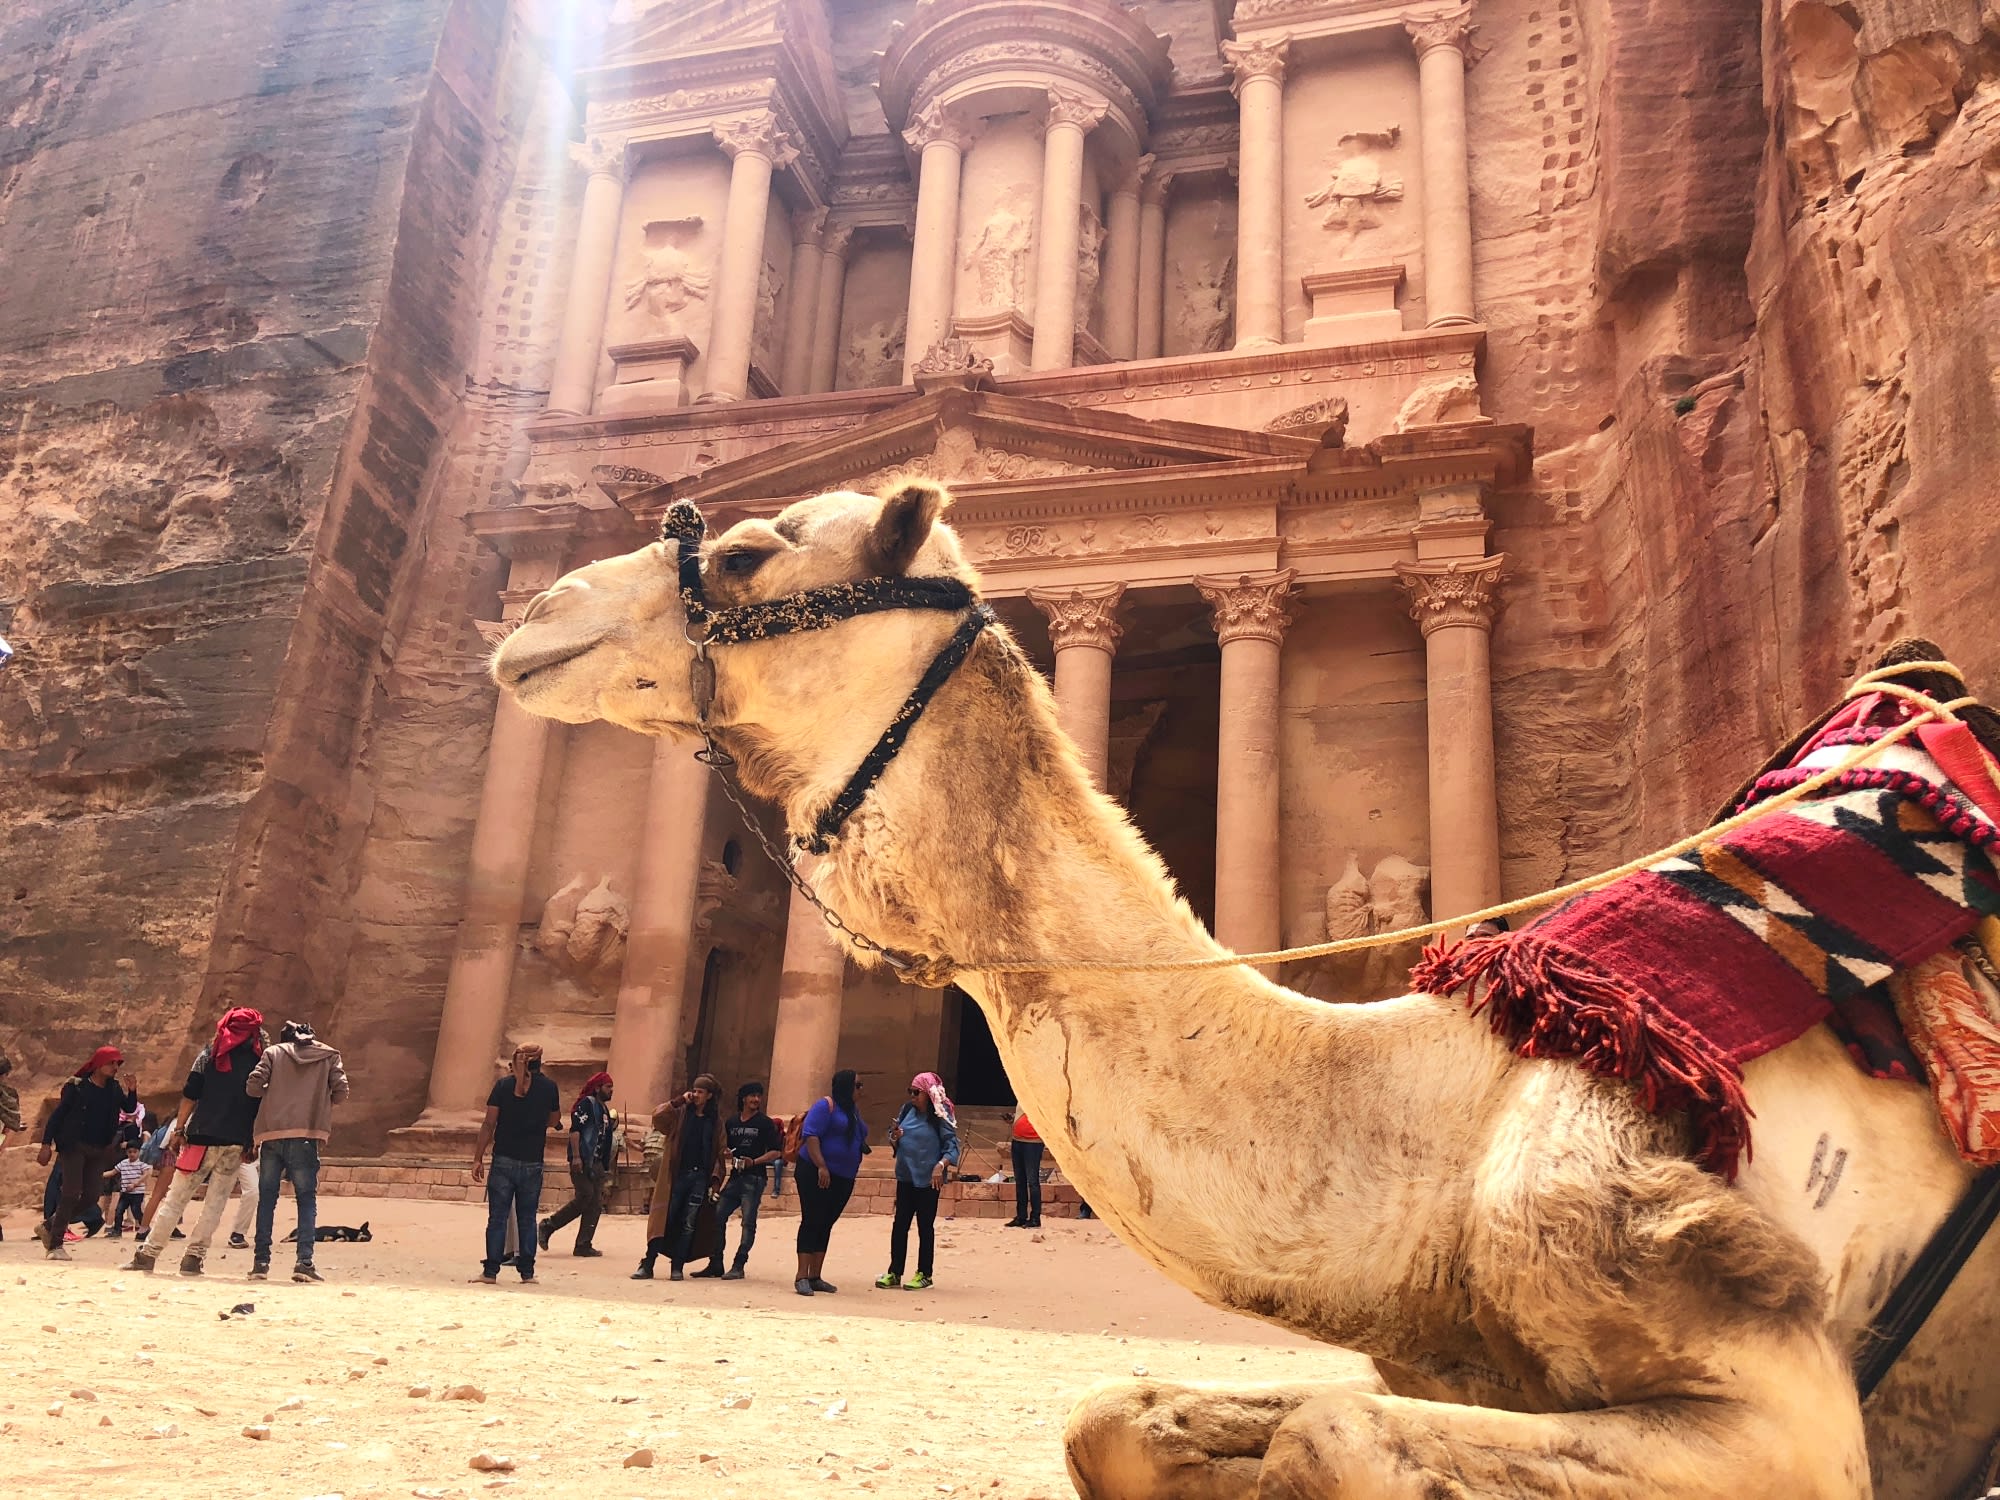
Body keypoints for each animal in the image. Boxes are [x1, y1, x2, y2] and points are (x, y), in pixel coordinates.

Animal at [488, 484, 2000, 1500]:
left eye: (748, 553)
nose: (534, 616)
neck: (1432, 1122)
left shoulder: (1786, 1410)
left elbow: (1327, 1440)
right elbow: (1116, 1419)